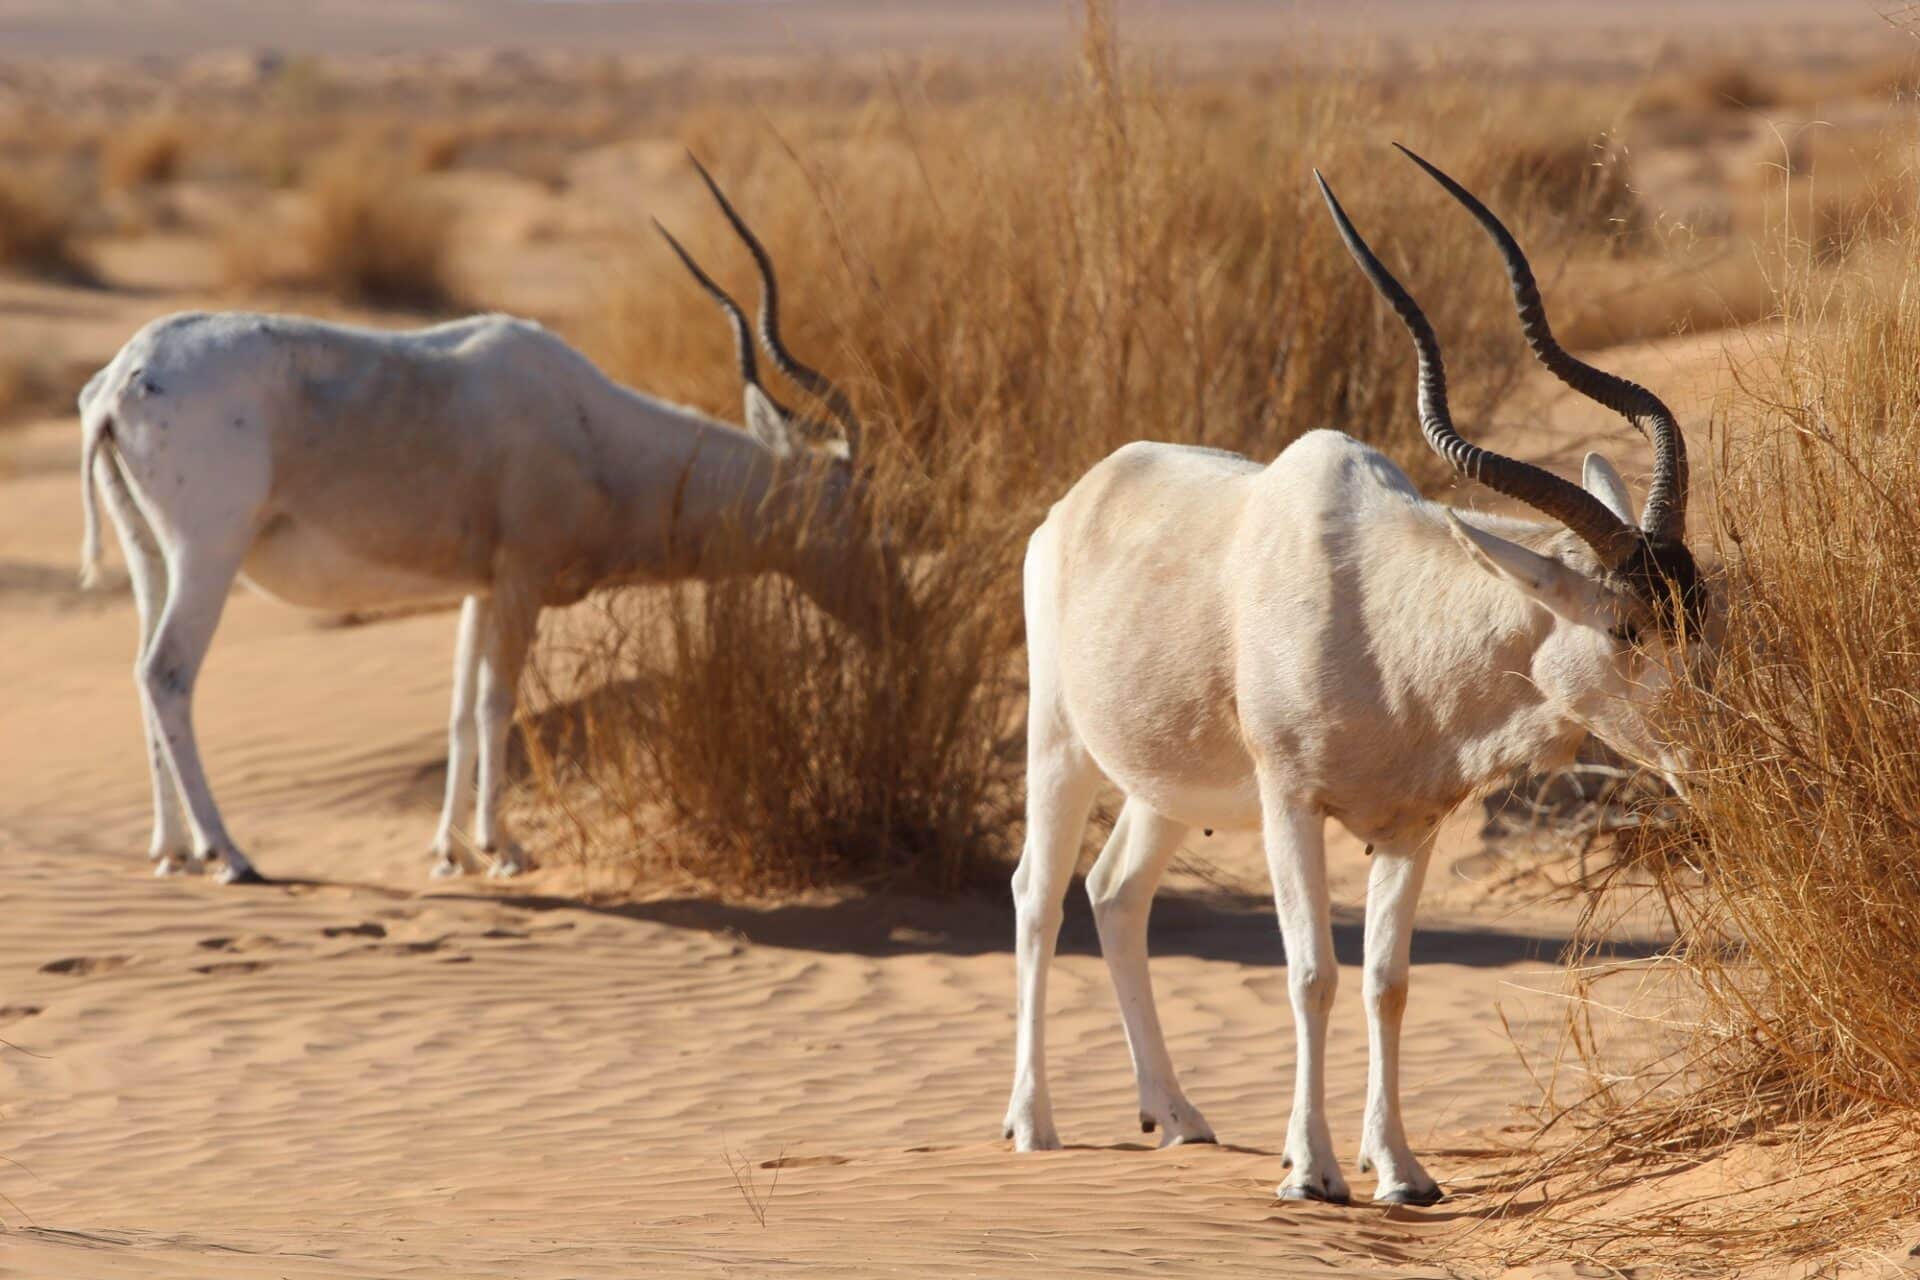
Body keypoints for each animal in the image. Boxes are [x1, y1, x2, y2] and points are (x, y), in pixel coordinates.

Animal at [72, 157, 883, 882]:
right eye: (853, 508)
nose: (890, 617)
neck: (590, 428)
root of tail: (120, 382)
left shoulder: (480, 589)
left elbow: (461, 711)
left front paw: (450, 853)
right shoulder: (522, 579)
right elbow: (499, 702)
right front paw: (505, 849)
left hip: (152, 558)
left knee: (142, 671)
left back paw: (173, 852)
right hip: (209, 554)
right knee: (167, 671)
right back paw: (230, 856)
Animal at [998, 144, 1704, 1205]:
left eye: (1705, 609)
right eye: (1625, 626)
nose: (1716, 758)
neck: (1388, 618)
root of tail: (1080, 499)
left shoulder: (1411, 827)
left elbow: (1387, 982)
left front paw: (1401, 1171)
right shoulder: (1292, 803)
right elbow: (1312, 975)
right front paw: (1313, 1171)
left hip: (1168, 787)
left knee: (1116, 892)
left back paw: (1180, 1118)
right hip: (1061, 746)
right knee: (1037, 896)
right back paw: (1033, 1125)